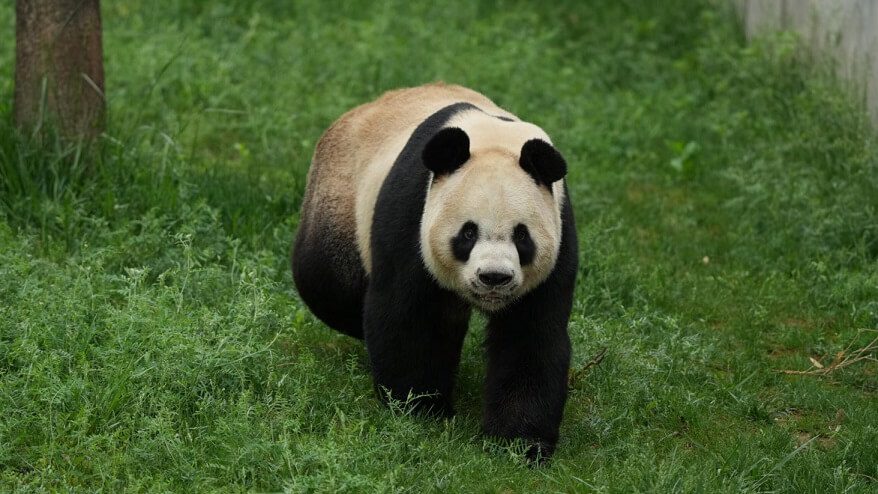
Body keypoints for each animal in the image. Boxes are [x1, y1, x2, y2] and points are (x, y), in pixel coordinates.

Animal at [292, 82, 578, 460]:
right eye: (468, 233)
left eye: (522, 236)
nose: (494, 278)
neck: (495, 139)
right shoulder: (413, 214)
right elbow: (410, 317)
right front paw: (422, 409)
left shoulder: (558, 233)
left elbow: (531, 336)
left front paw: (519, 442)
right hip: (341, 197)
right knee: (329, 282)